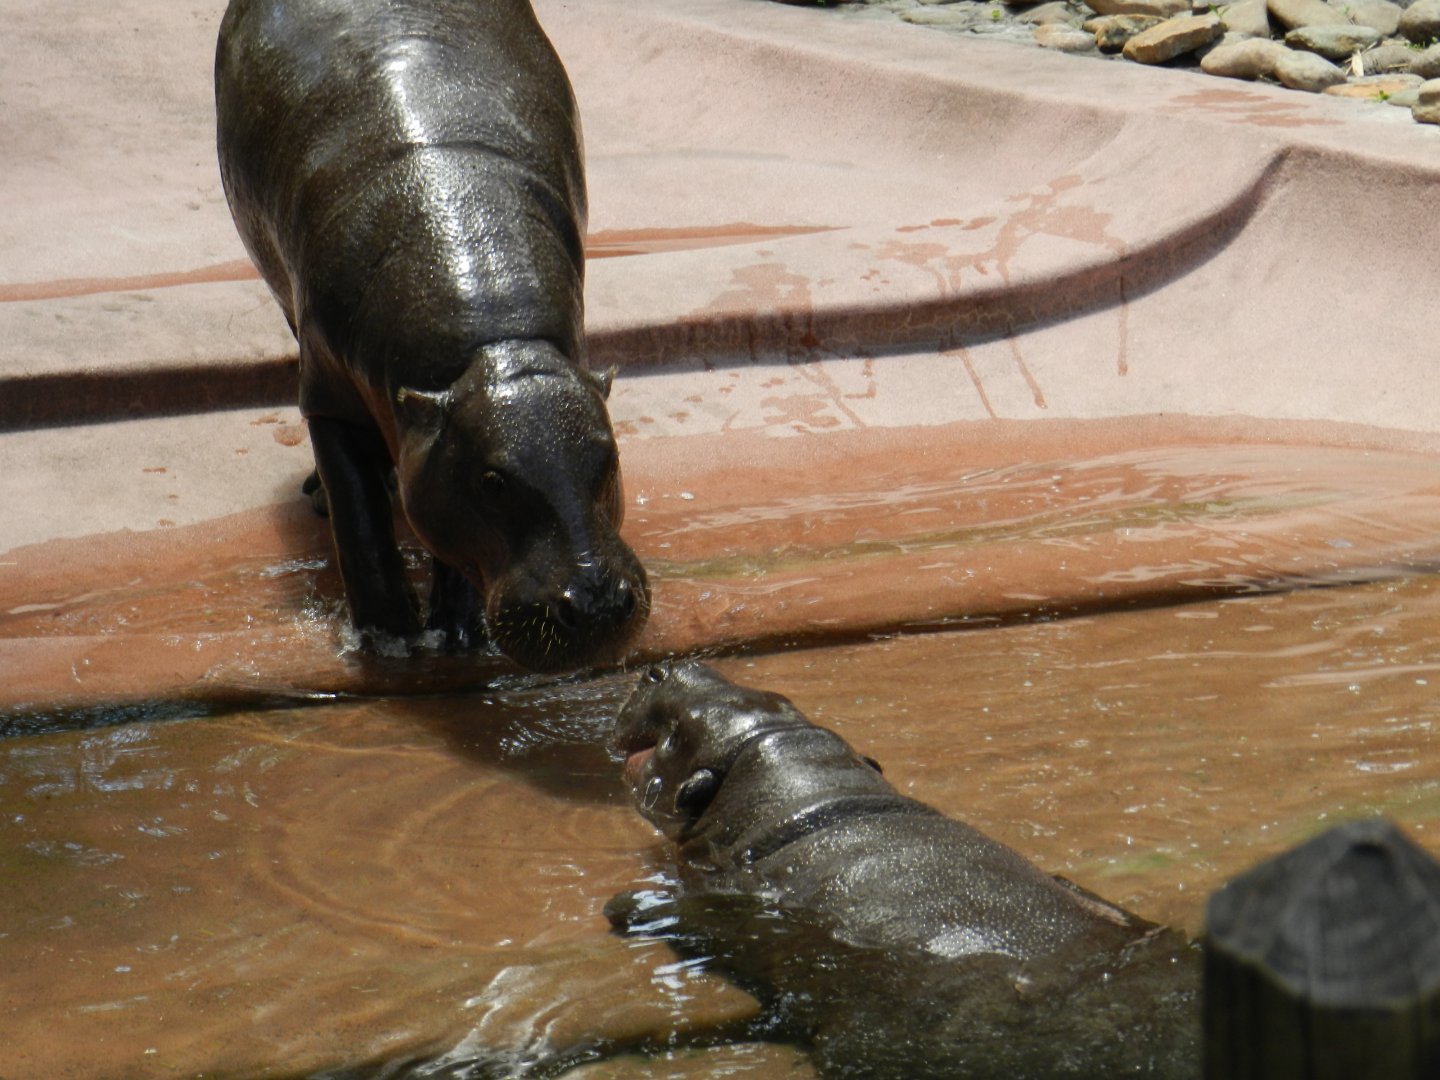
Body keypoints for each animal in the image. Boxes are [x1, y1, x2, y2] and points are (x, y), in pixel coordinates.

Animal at [214, 0, 648, 671]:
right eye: (493, 482)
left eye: (611, 457)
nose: (597, 604)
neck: (497, 348)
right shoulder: (331, 399)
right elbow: (361, 526)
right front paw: (392, 640)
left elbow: (455, 542)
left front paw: (457, 634)